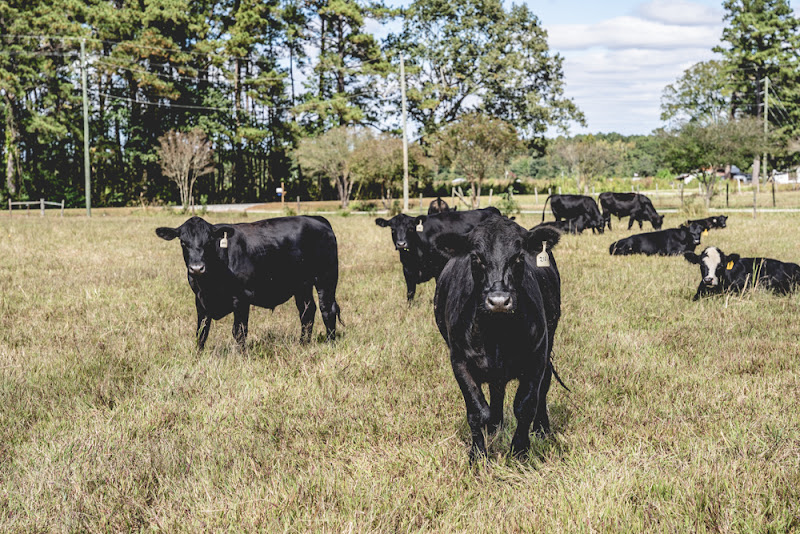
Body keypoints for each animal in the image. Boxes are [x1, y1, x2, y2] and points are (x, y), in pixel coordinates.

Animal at [155, 216, 341, 349]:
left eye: (208, 242)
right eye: (183, 242)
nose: (196, 268)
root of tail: (316, 219)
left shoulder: (241, 298)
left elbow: (239, 331)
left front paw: (241, 356)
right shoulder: (200, 299)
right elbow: (201, 331)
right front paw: (198, 357)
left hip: (326, 278)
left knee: (327, 309)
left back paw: (330, 344)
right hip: (302, 285)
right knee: (307, 311)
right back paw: (303, 344)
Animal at [433, 217, 562, 461]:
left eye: (519, 257)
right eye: (476, 257)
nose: (499, 301)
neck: (497, 335)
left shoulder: (537, 358)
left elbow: (525, 406)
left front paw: (520, 452)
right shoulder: (459, 361)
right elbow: (477, 411)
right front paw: (477, 456)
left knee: (543, 387)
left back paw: (541, 429)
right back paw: (495, 426)